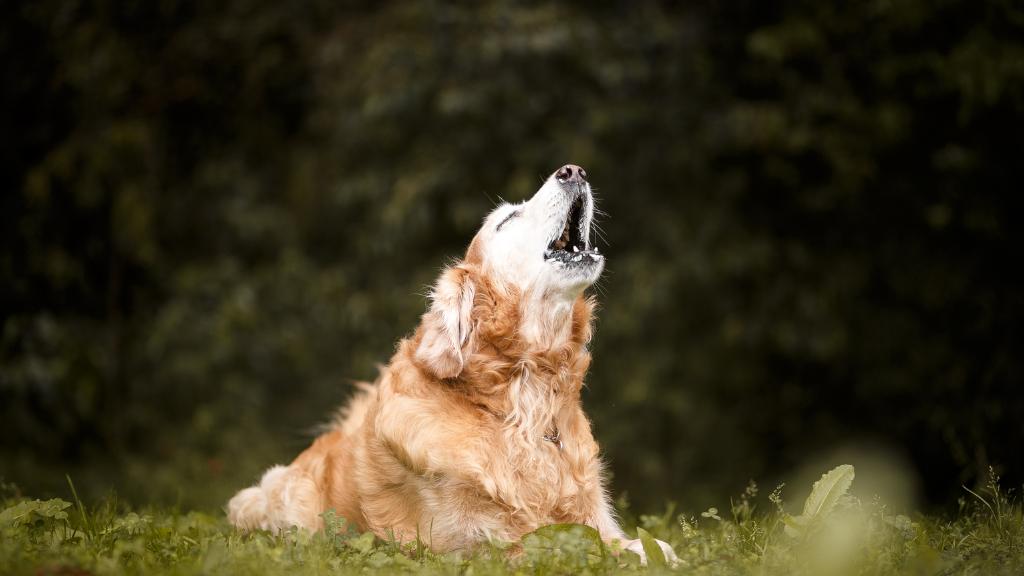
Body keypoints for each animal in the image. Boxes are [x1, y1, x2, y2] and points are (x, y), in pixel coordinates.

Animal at [230, 161, 679, 561]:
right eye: (507, 219)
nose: (574, 171)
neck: (522, 402)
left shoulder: (594, 517)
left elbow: (645, 544)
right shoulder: (476, 545)